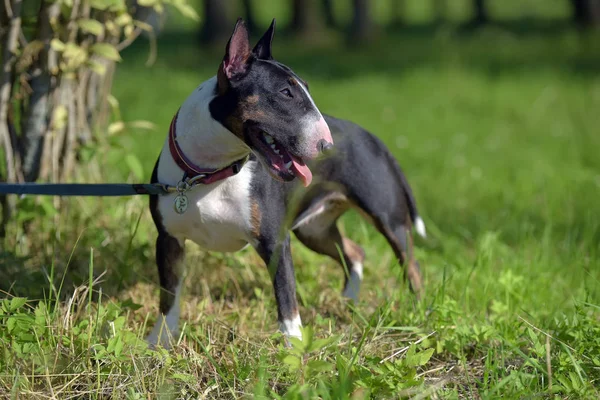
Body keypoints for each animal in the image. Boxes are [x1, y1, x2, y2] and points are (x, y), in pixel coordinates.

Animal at [147, 18, 424, 346]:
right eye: (285, 93)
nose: (327, 147)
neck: (212, 173)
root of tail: (373, 138)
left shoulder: (275, 240)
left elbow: (286, 298)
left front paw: (294, 347)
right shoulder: (169, 239)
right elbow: (169, 295)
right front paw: (159, 340)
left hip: (388, 218)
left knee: (412, 267)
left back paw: (419, 313)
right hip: (314, 229)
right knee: (355, 252)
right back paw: (348, 302)